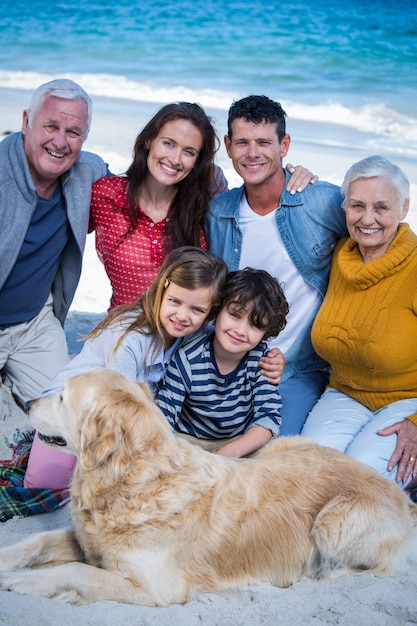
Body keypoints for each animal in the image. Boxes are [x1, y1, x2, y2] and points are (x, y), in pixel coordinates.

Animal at [0, 368, 414, 604]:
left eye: (62, 396)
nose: (25, 401)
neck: (135, 479)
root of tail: (402, 495)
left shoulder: (158, 589)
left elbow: (77, 571)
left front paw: (24, 583)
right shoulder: (88, 540)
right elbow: (35, 541)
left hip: (335, 521)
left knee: (373, 567)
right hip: (278, 446)